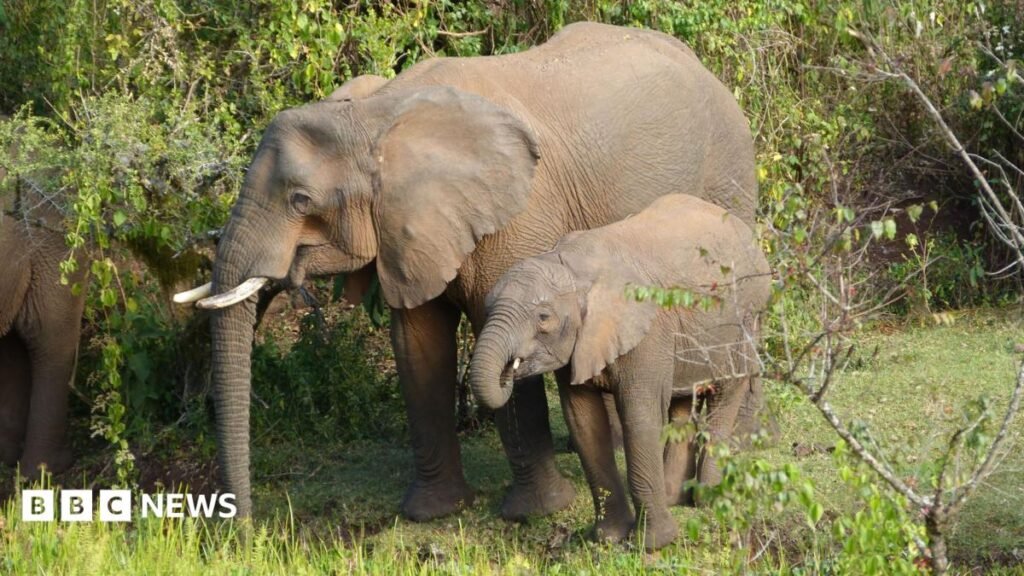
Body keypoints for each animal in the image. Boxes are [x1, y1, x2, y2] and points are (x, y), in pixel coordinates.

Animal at [174, 22, 759, 521]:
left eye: (300, 200)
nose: (241, 528)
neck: (377, 115)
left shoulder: (519, 215)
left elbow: (496, 331)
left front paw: (534, 513)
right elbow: (417, 343)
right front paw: (432, 512)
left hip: (730, 176)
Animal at [469, 194, 772, 550]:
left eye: (543, 317)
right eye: (487, 309)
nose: (509, 370)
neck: (573, 267)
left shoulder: (647, 332)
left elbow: (640, 417)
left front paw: (653, 544)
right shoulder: (581, 345)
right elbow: (584, 422)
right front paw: (607, 538)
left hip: (744, 319)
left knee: (724, 396)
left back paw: (708, 499)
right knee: (681, 403)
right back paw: (674, 498)